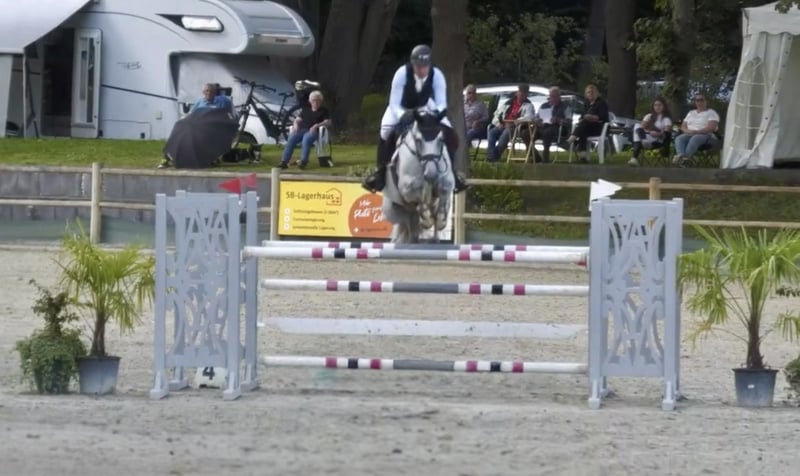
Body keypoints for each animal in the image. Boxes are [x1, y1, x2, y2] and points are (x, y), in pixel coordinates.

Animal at [381, 109, 455, 244]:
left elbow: (443, 192)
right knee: (407, 227)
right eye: (419, 141)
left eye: (441, 140)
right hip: (391, 211)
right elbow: (419, 198)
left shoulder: (447, 182)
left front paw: (441, 220)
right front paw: (426, 220)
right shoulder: (407, 189)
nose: (431, 174)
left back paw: (434, 238)